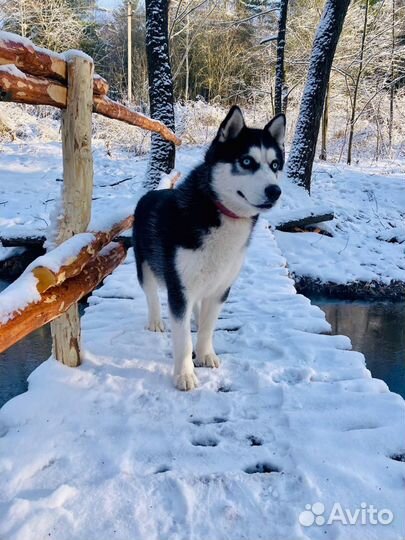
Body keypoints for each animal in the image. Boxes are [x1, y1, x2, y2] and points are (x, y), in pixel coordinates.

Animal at [133, 105, 284, 390]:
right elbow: (182, 339)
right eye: (246, 162)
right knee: (151, 295)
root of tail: (152, 192)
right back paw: (156, 320)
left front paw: (205, 354)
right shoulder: (179, 289)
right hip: (145, 266)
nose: (275, 191)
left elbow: (207, 327)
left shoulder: (221, 288)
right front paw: (184, 374)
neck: (219, 212)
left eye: (275, 165)